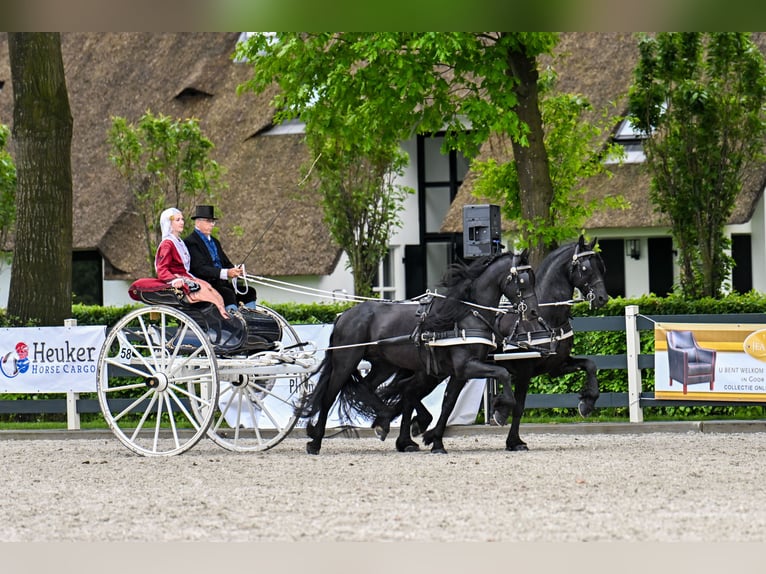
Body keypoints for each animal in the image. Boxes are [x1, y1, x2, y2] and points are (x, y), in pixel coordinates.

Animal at [298, 250, 540, 456]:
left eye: (533, 278)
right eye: (522, 280)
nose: (533, 312)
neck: (466, 314)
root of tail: (344, 315)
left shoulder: (459, 373)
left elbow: (448, 404)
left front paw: (437, 441)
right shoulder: (466, 366)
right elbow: (503, 374)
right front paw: (501, 409)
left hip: (384, 365)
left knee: (367, 387)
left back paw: (386, 422)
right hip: (346, 361)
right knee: (330, 396)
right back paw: (316, 442)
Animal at [496, 236, 608, 452]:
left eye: (602, 266)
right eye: (585, 268)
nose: (602, 298)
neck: (544, 319)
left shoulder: (557, 366)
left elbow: (590, 365)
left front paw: (587, 403)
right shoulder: (523, 372)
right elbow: (518, 406)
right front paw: (514, 441)